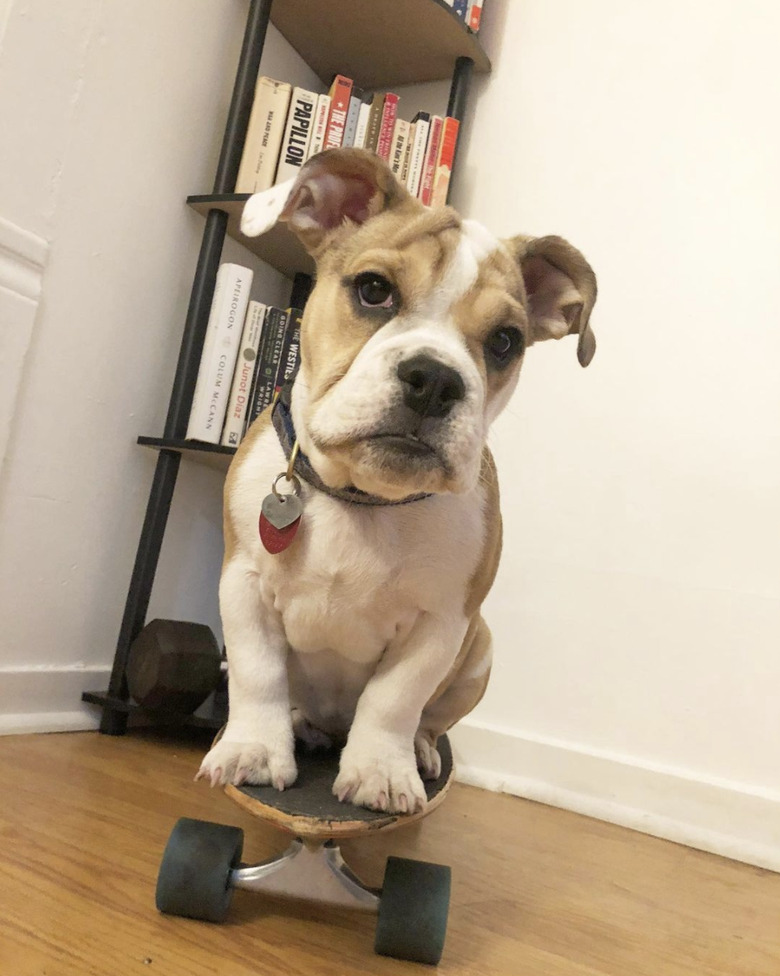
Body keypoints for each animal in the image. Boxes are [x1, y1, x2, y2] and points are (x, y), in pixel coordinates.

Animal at [197, 147, 596, 816]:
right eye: (374, 290)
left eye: (505, 341)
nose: (435, 379)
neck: (363, 497)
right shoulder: (243, 584)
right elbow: (258, 673)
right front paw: (255, 749)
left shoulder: (443, 623)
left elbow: (394, 700)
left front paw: (381, 771)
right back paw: (300, 723)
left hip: (479, 653)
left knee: (430, 719)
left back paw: (421, 751)